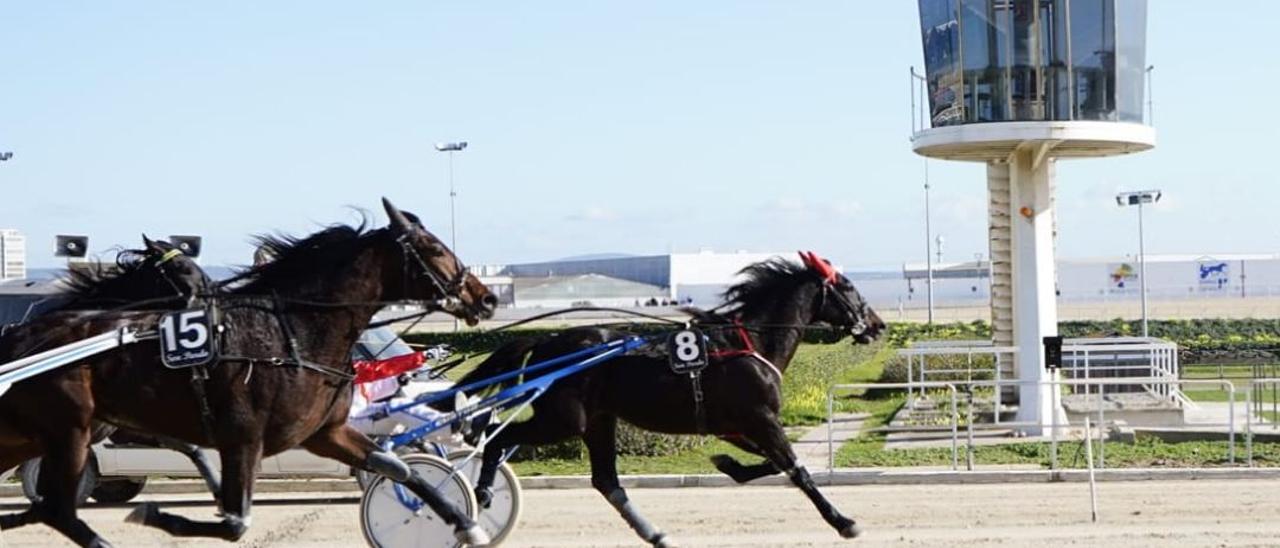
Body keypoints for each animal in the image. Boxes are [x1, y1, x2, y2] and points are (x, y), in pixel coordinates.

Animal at [0, 199, 494, 548]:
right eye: (433, 248)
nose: (485, 297)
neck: (293, 334)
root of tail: (23, 337)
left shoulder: (325, 433)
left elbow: (399, 467)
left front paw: (466, 524)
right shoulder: (242, 438)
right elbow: (236, 522)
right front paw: (157, 513)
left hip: (37, 435)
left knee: (53, 509)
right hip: (71, 430)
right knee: (60, 512)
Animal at [455, 250, 885, 542]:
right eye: (849, 287)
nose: (878, 324)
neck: (751, 342)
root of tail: (549, 342)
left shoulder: (734, 425)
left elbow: (770, 464)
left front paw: (727, 464)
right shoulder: (760, 418)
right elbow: (796, 469)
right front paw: (844, 522)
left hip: (598, 421)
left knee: (606, 480)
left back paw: (654, 533)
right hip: (564, 420)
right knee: (497, 437)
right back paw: (481, 493)